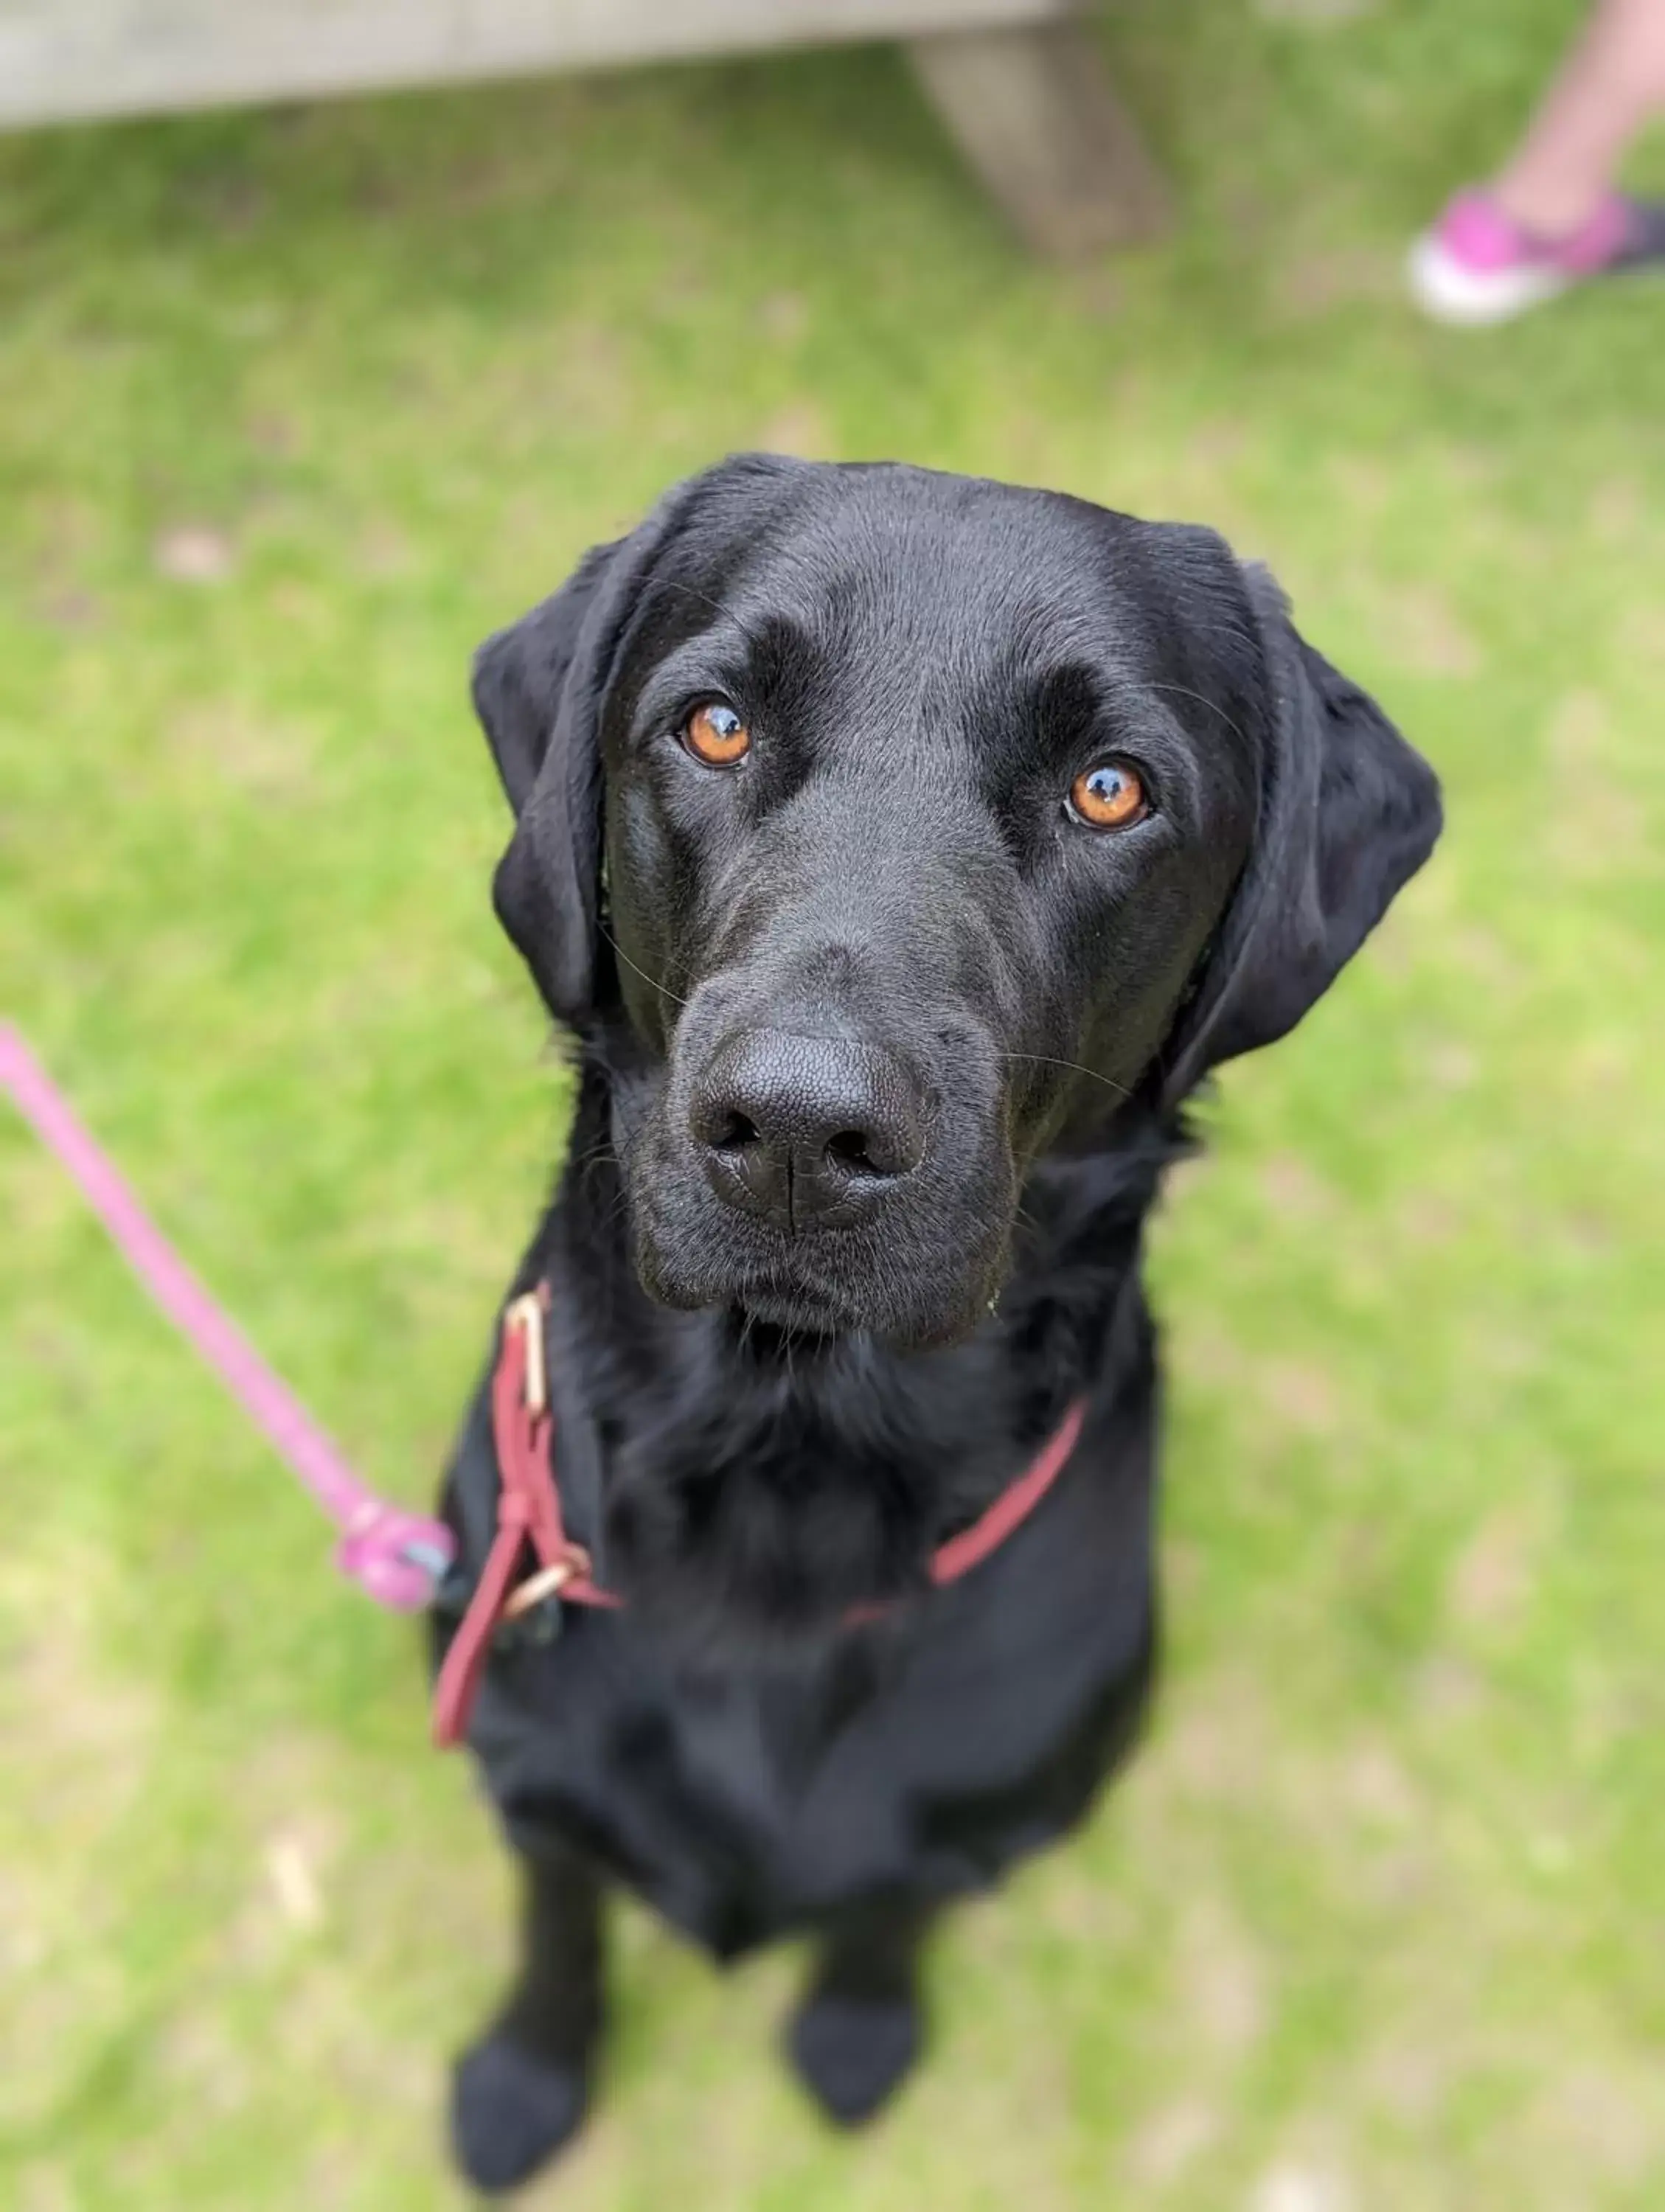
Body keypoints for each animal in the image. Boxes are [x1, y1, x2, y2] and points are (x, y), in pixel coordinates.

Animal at [435, 458, 1433, 2185]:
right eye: (713, 726)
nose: (795, 1130)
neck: (786, 1478)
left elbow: (884, 1910)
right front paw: (523, 2083)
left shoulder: (973, 1823)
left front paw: (855, 2038)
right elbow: (558, 1922)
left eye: (1109, 788)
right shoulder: (528, 1774)